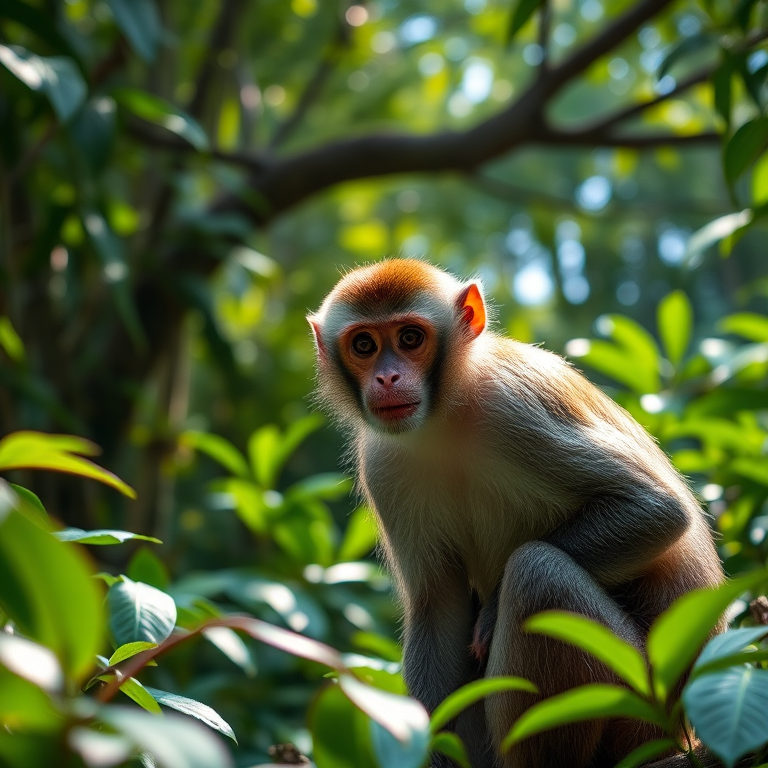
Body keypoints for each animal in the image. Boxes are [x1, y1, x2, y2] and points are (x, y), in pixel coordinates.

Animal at [307, 259, 724, 768]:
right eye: (364, 345)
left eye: (410, 338)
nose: (387, 379)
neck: (445, 415)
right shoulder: (384, 463)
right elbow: (438, 605)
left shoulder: (515, 405)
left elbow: (655, 508)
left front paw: (490, 614)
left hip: (642, 701)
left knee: (538, 572)